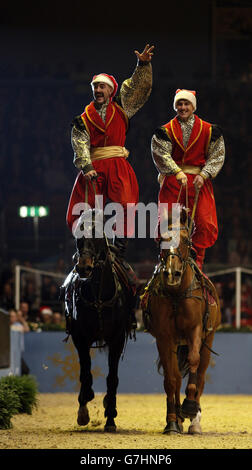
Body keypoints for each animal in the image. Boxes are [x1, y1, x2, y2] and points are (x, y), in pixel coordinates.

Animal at [61, 211, 136, 432]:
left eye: (96, 234)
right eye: (78, 234)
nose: (84, 267)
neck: (98, 297)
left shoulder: (117, 338)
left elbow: (112, 378)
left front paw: (110, 416)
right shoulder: (80, 337)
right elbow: (85, 373)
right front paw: (83, 409)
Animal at [142, 207, 220, 436]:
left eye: (185, 240)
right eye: (162, 239)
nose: (172, 273)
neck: (177, 294)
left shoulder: (195, 330)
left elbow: (194, 363)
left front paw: (190, 407)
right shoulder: (164, 337)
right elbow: (171, 379)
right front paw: (172, 421)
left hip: (208, 338)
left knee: (200, 375)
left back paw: (194, 420)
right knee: (176, 376)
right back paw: (178, 416)